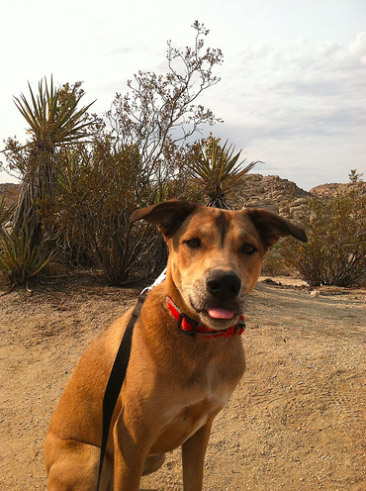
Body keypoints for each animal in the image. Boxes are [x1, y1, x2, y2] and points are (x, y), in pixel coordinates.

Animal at [44, 198, 306, 490]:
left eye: (249, 248)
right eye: (192, 242)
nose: (225, 283)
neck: (199, 339)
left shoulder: (200, 429)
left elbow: (193, 480)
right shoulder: (131, 436)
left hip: (152, 458)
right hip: (90, 460)